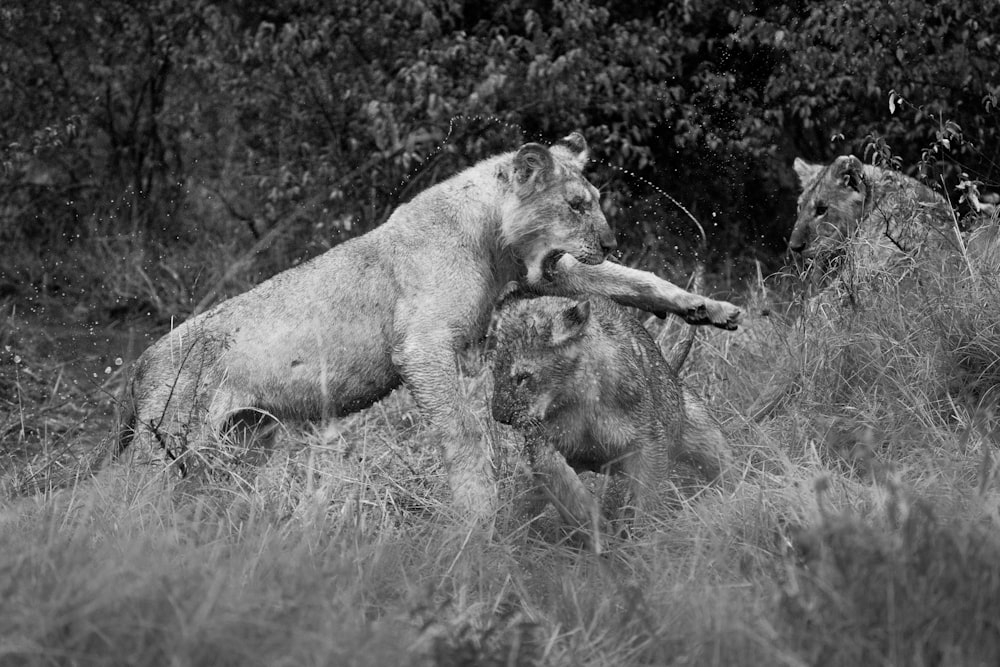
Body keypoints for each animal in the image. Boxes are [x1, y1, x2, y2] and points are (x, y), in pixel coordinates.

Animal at [490, 294, 732, 552]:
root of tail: (673, 374)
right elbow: (564, 485)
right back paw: (507, 538)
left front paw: (643, 541)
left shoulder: (648, 440)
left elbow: (647, 495)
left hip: (704, 435)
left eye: (522, 377)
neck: (578, 395)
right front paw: (597, 531)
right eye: (495, 372)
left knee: (725, 466)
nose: (499, 417)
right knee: (521, 504)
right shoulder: (541, 445)